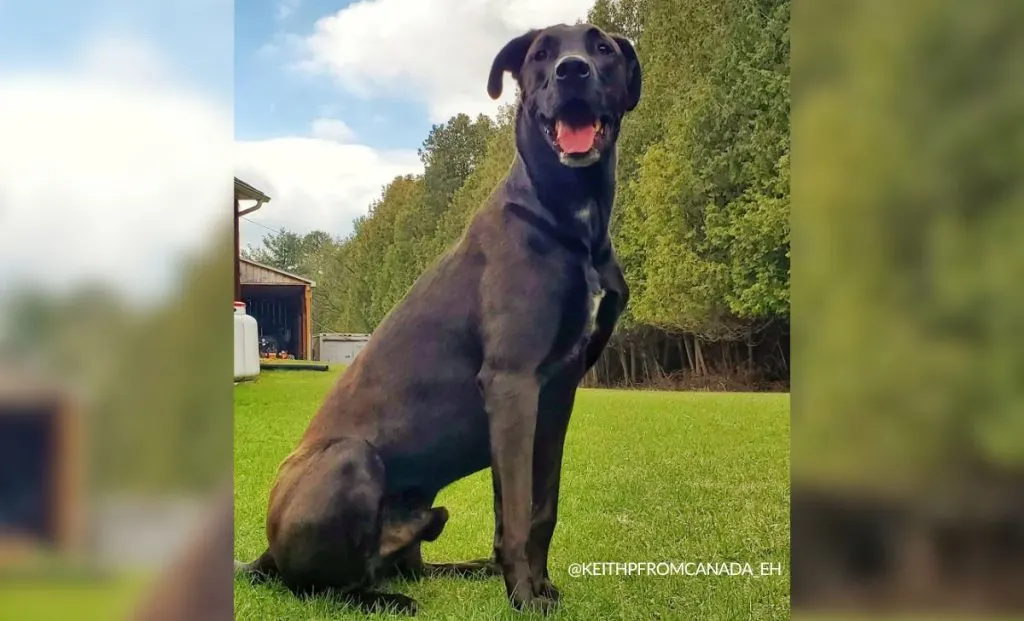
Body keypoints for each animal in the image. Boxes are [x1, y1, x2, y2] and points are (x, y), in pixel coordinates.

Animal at [236, 21, 643, 614]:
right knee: (322, 587)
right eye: (541, 54)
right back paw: (387, 601)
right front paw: (525, 596)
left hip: (428, 507)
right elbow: (516, 512)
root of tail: (261, 554)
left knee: (406, 564)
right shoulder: (512, 382)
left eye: (603, 48)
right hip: (352, 460)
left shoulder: (558, 389)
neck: (570, 217)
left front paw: (539, 585)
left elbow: (539, 507)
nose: (572, 71)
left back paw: (462, 570)